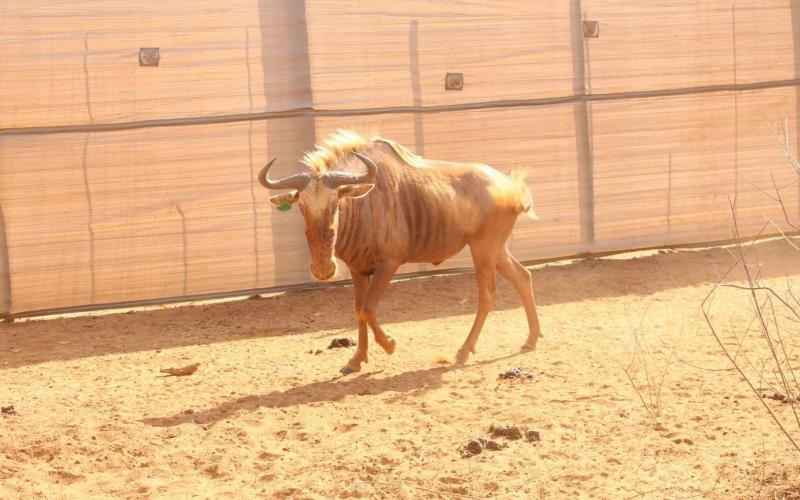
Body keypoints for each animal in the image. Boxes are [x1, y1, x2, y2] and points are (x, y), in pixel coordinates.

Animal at [258, 130, 542, 374]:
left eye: (336, 204)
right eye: (301, 207)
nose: (322, 269)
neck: (366, 203)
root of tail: (512, 185)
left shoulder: (389, 263)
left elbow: (369, 308)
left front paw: (389, 345)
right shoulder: (358, 269)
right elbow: (358, 310)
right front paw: (356, 360)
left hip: (483, 248)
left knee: (487, 294)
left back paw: (463, 351)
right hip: (496, 249)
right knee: (523, 277)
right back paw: (531, 338)